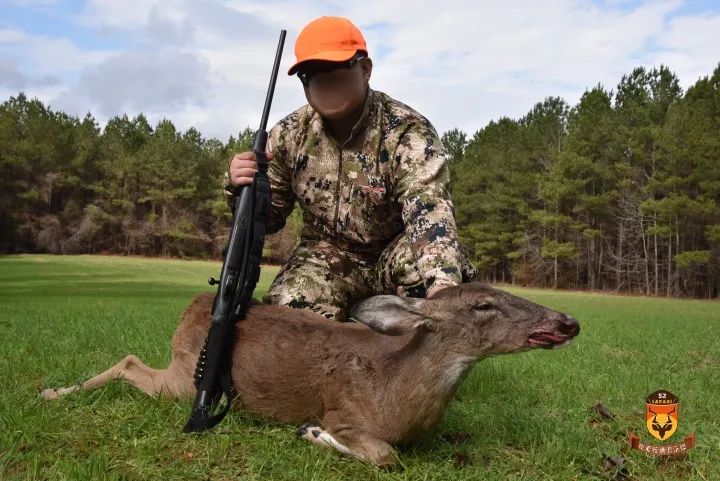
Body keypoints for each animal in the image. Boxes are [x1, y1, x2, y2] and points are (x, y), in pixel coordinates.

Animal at [38, 282, 580, 468]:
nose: (567, 321)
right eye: (484, 304)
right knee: (130, 363)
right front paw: (311, 432)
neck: (399, 394)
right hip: (183, 378)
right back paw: (52, 392)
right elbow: (384, 456)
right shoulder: (347, 410)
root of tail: (194, 305)